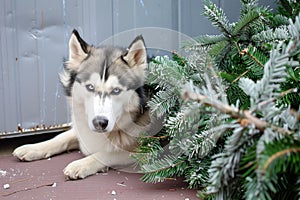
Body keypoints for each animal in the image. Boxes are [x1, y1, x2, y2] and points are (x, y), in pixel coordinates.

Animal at [12, 28, 156, 179]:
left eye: (116, 90)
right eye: (90, 87)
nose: (100, 122)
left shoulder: (144, 150)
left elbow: (107, 153)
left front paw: (80, 164)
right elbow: (60, 137)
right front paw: (33, 148)